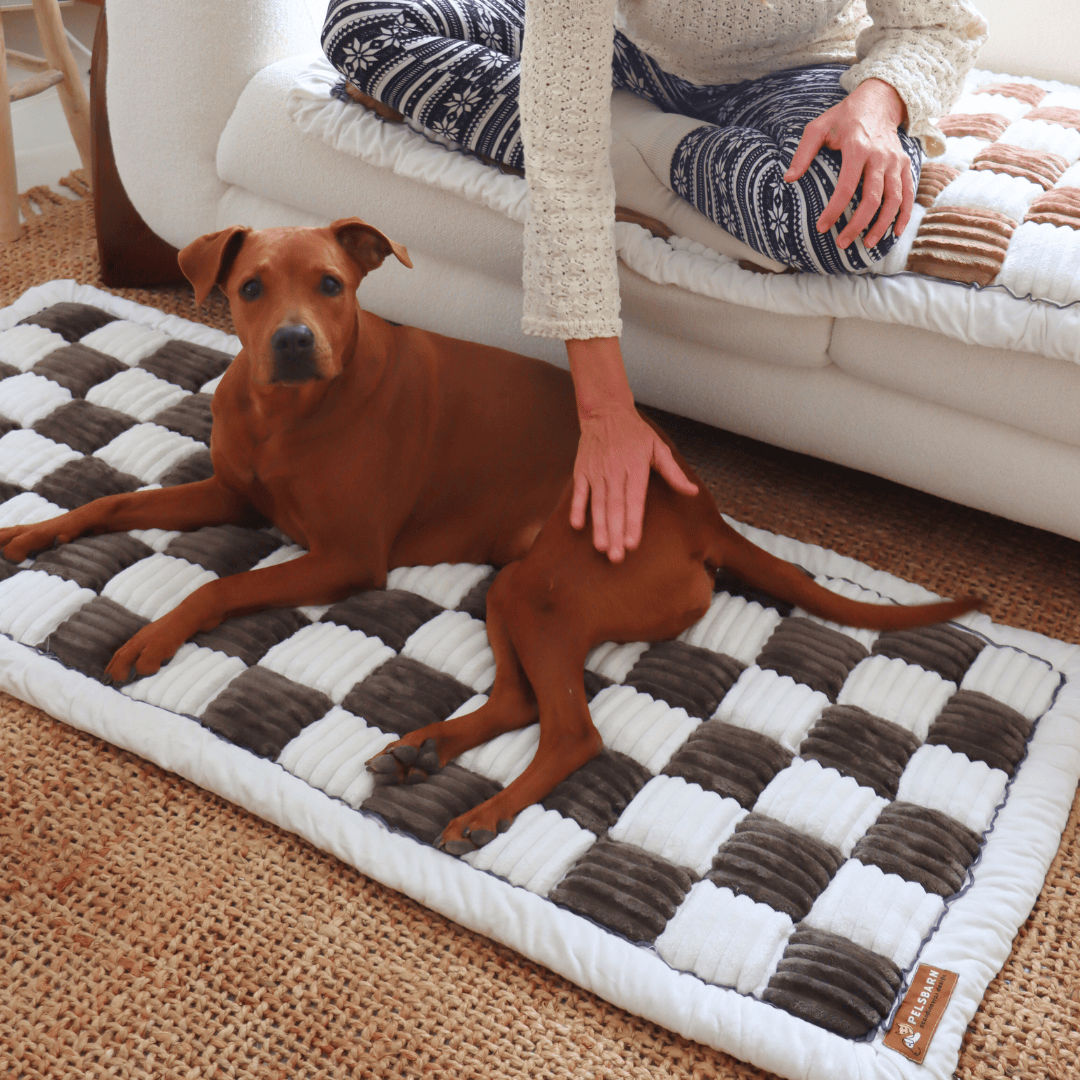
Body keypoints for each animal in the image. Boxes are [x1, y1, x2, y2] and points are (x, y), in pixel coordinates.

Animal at [0, 219, 980, 851]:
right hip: (512, 586)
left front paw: (152, 637)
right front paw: (36, 531)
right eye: (249, 288)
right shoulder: (236, 498)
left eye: (332, 286)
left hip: (545, 588)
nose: (292, 341)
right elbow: (114, 507)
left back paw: (485, 812)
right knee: (518, 703)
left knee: (573, 733)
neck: (288, 414)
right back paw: (426, 748)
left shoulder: (345, 557)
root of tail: (701, 508)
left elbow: (221, 583)